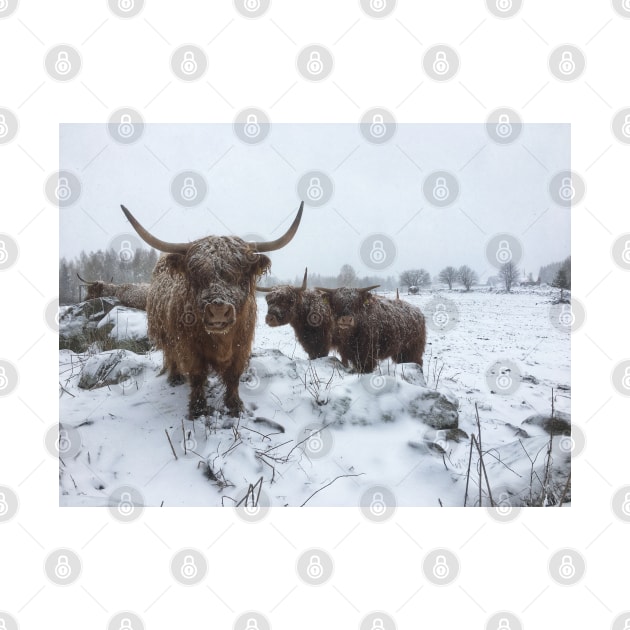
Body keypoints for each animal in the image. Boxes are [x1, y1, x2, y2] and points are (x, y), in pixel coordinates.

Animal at [122, 202, 304, 420]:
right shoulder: (188, 347)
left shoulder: (241, 346)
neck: (221, 340)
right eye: (196, 274)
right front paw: (198, 409)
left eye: (241, 275)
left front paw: (234, 406)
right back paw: (175, 377)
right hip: (166, 334)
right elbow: (197, 374)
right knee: (170, 354)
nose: (218, 310)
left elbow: (233, 376)